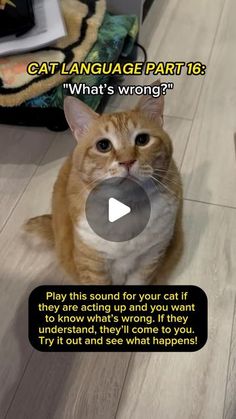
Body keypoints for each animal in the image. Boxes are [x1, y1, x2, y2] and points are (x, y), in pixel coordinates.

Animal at [24, 81, 183, 286]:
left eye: (142, 140)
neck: (126, 208)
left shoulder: (149, 259)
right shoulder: (92, 265)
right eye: (103, 146)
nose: (127, 161)